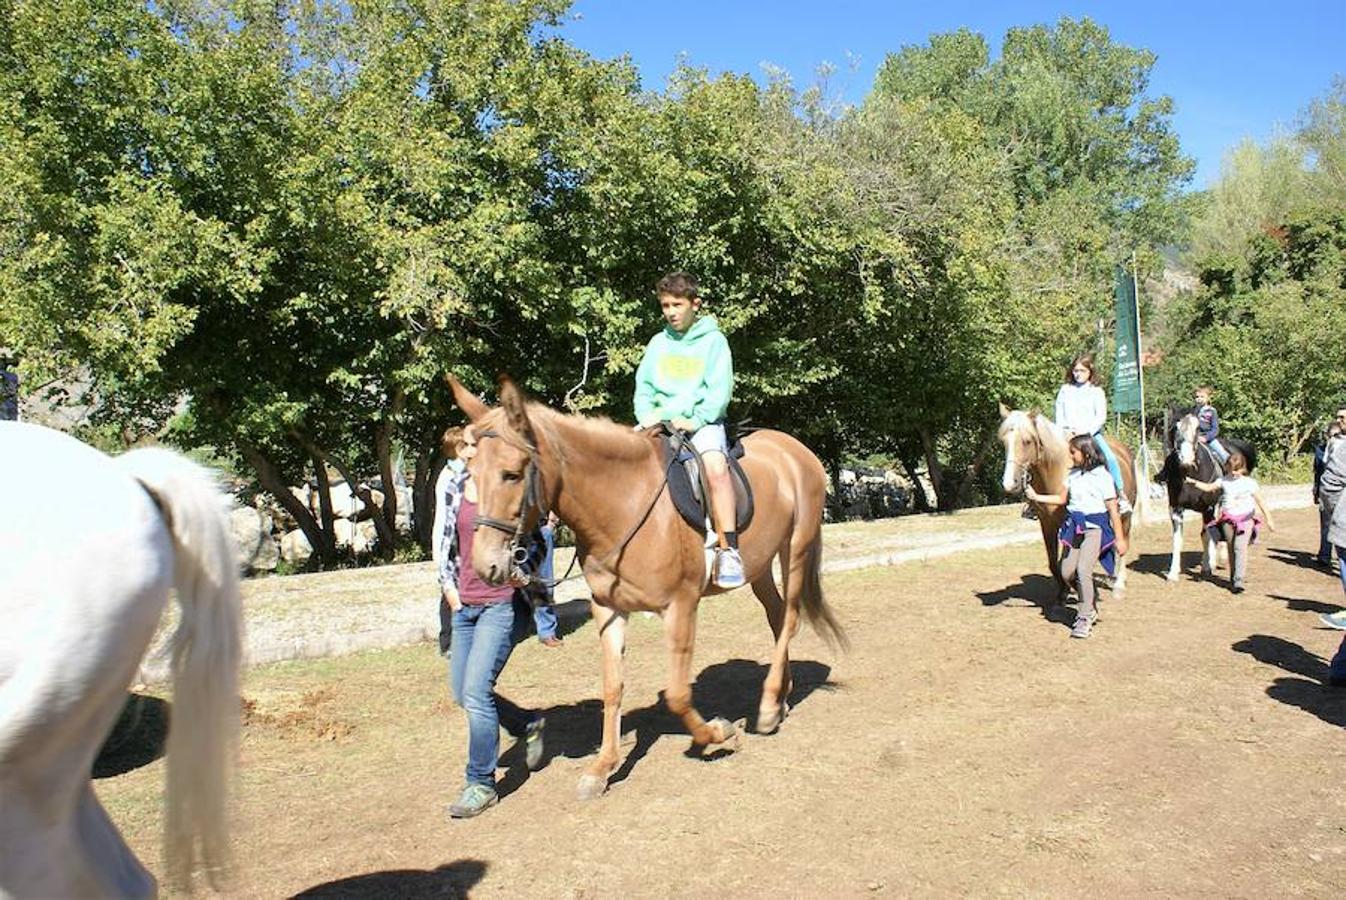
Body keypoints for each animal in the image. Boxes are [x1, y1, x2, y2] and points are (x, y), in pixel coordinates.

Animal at [454, 376, 850, 796]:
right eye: (470, 473)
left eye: (511, 474)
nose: (485, 565)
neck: (624, 504)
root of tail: (796, 450)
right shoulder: (608, 608)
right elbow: (613, 686)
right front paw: (602, 768)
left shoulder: (681, 606)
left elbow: (677, 693)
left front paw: (717, 732)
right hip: (759, 564)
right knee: (777, 619)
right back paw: (779, 699)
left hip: (796, 549)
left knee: (789, 618)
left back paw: (770, 706)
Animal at [996, 406, 1141, 602]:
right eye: (1004, 442)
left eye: (1027, 441)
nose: (1009, 484)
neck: (1056, 472)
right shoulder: (1047, 523)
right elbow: (1054, 562)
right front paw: (1063, 591)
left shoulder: (1070, 522)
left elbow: (1068, 561)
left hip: (1125, 516)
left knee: (1123, 542)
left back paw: (1119, 584)